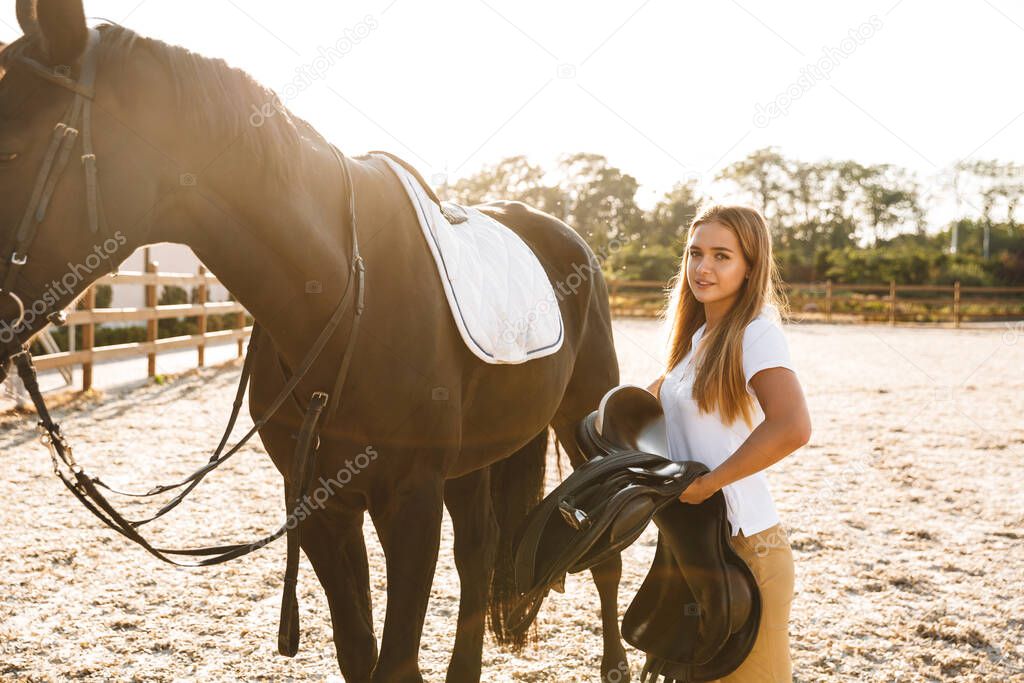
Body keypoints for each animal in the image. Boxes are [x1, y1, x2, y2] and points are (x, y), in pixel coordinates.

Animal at [0, 2, 626, 679]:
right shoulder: (321, 505)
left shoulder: (411, 500)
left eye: (8, 150)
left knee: (603, 551)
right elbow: (359, 651)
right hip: (477, 456)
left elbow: (395, 661)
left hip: (582, 420)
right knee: (479, 553)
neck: (345, 296)